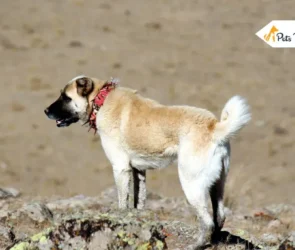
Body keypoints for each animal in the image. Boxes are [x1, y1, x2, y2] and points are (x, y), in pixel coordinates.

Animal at [44, 75, 252, 248]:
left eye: (65, 97)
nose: (45, 110)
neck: (100, 100)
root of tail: (214, 127)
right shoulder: (139, 172)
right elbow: (139, 202)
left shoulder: (120, 168)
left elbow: (123, 203)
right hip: (218, 183)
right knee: (219, 216)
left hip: (191, 183)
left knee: (207, 222)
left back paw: (196, 245)